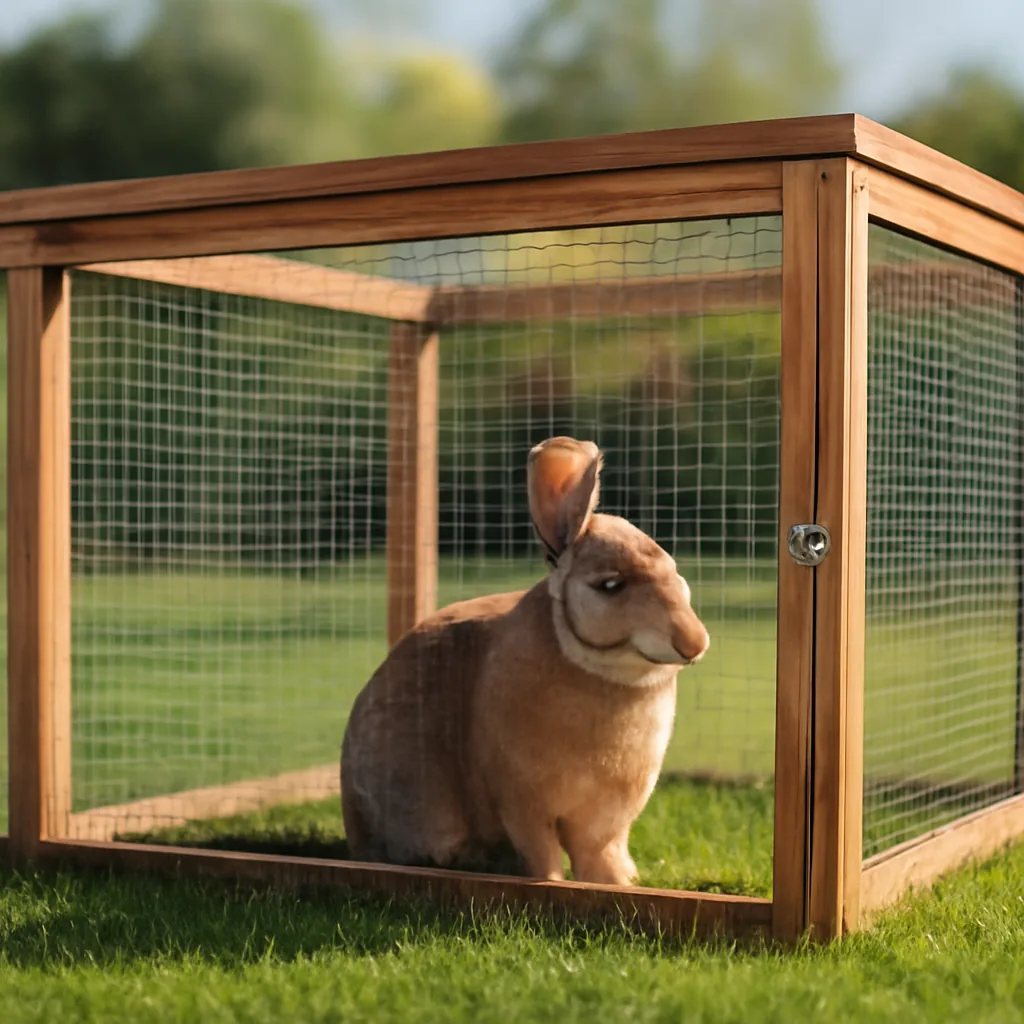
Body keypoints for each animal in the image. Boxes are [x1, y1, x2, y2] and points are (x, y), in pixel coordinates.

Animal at [340, 436, 710, 886]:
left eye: (675, 569)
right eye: (610, 584)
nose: (693, 643)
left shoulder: (606, 817)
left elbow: (599, 851)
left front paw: (617, 883)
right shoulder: (521, 801)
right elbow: (541, 852)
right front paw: (552, 884)